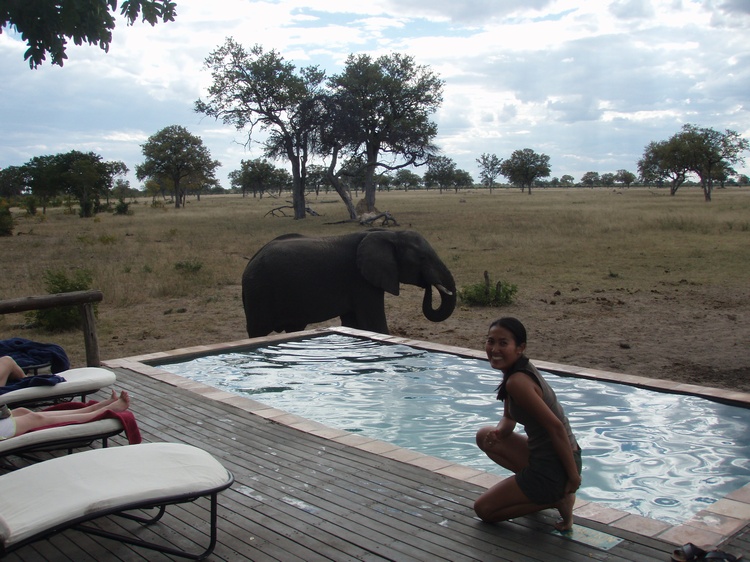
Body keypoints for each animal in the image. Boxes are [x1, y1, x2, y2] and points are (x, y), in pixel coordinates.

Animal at [244, 229, 458, 336]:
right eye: (422, 258)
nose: (428, 283)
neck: (389, 234)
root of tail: (252, 259)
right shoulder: (360, 280)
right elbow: (374, 324)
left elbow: (352, 323)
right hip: (258, 292)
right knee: (258, 330)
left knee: (294, 328)